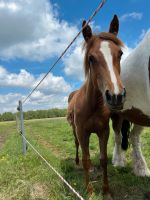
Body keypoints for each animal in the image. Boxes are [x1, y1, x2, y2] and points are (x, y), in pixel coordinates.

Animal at [67, 14, 125, 199]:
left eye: (120, 54)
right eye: (91, 58)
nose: (116, 96)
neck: (92, 105)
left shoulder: (103, 132)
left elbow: (103, 159)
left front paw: (106, 191)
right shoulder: (82, 132)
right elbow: (86, 159)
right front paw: (90, 191)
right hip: (75, 131)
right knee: (78, 147)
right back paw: (77, 162)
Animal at [111, 29, 150, 177]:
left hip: (140, 114)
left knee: (134, 136)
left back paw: (141, 168)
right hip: (116, 114)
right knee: (118, 136)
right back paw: (118, 161)